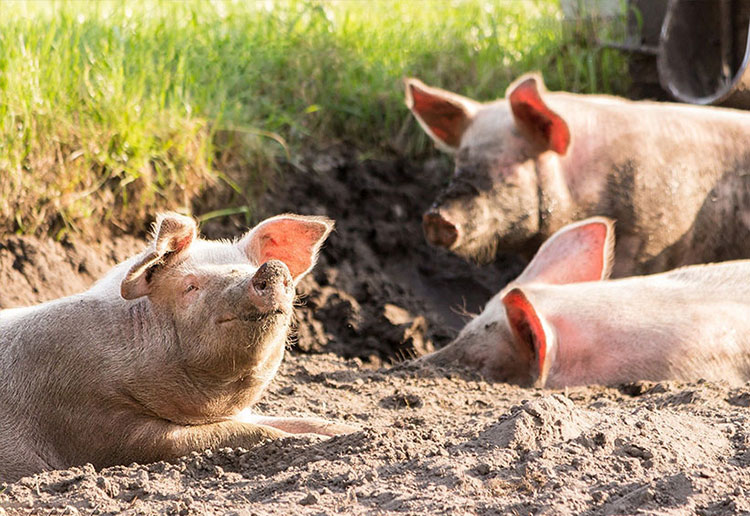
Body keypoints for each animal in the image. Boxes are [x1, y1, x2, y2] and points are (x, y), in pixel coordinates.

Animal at [0, 213, 356, 484]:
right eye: (191, 286)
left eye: (247, 267)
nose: (271, 267)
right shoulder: (94, 422)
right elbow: (236, 433)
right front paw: (309, 441)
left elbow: (299, 420)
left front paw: (355, 431)